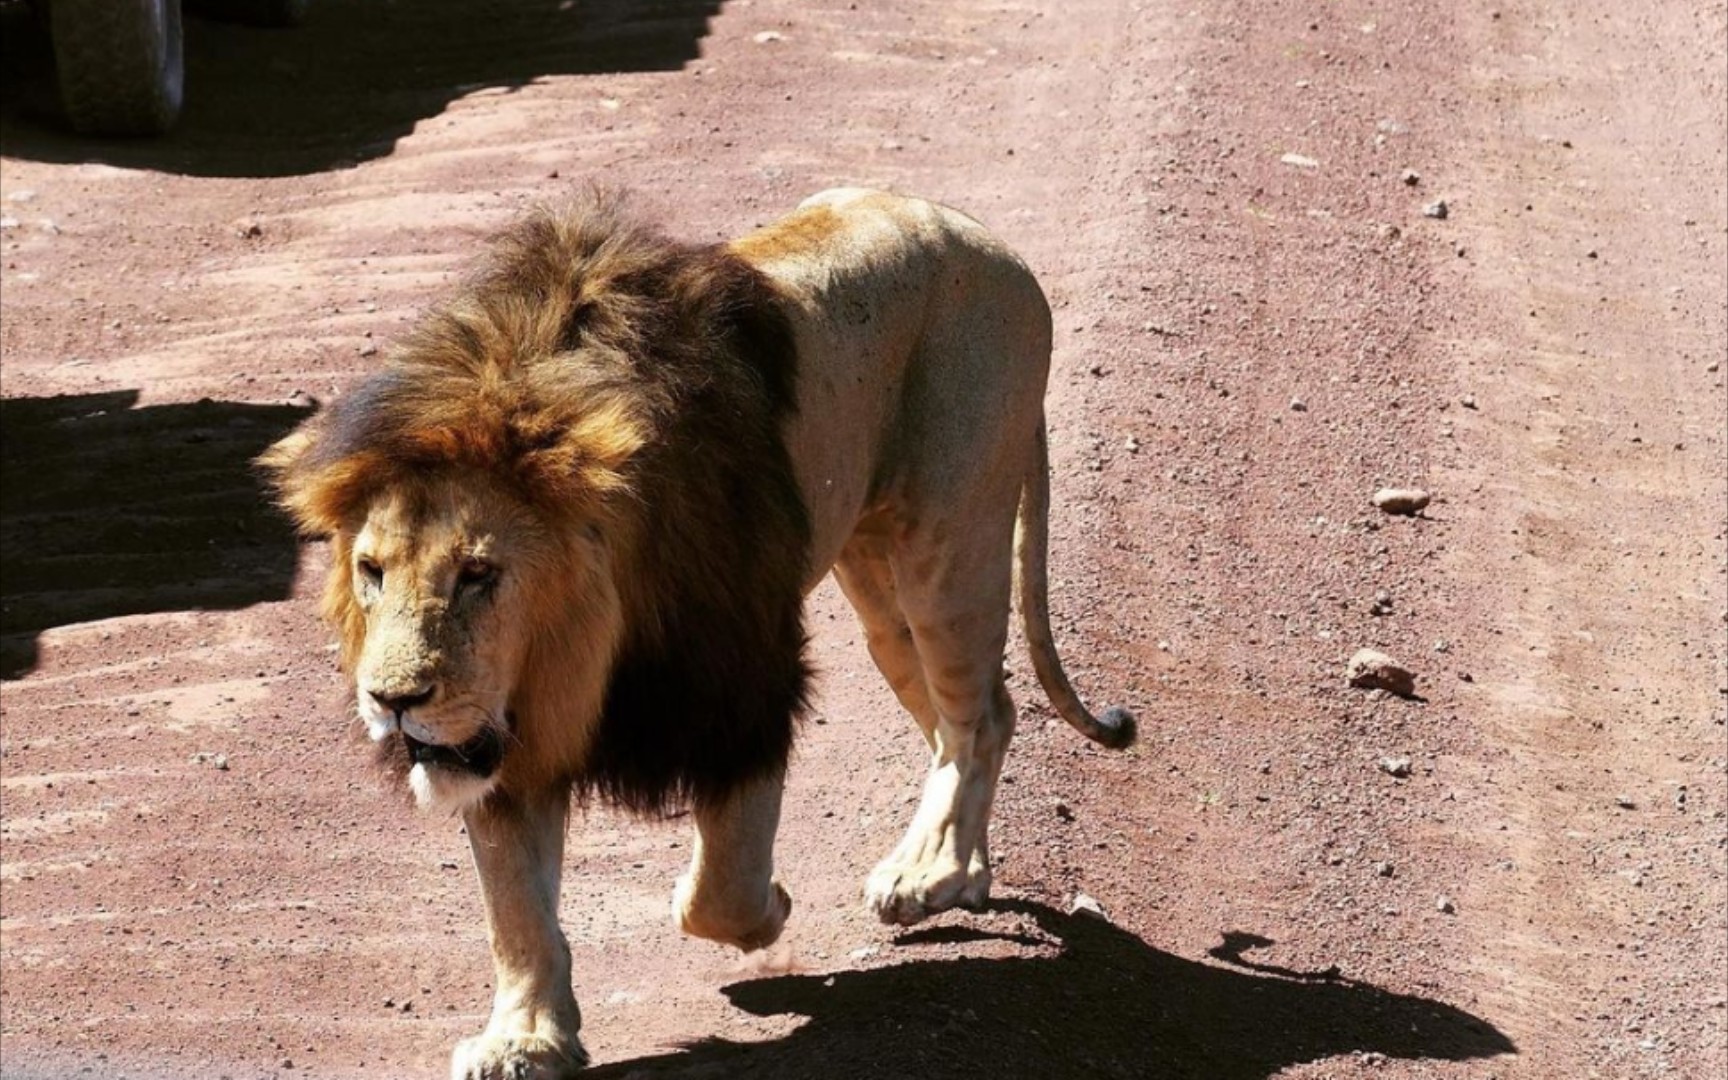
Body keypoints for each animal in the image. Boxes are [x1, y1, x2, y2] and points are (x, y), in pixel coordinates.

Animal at [262, 189, 1133, 1071]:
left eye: (478, 574)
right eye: (372, 571)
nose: (392, 700)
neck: (574, 648)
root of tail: (979, 234)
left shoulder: (741, 684)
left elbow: (722, 886)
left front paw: (765, 911)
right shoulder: (499, 738)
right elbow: (515, 910)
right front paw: (525, 1039)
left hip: (944, 541)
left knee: (978, 713)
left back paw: (928, 877)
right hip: (878, 582)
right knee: (969, 718)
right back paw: (961, 872)